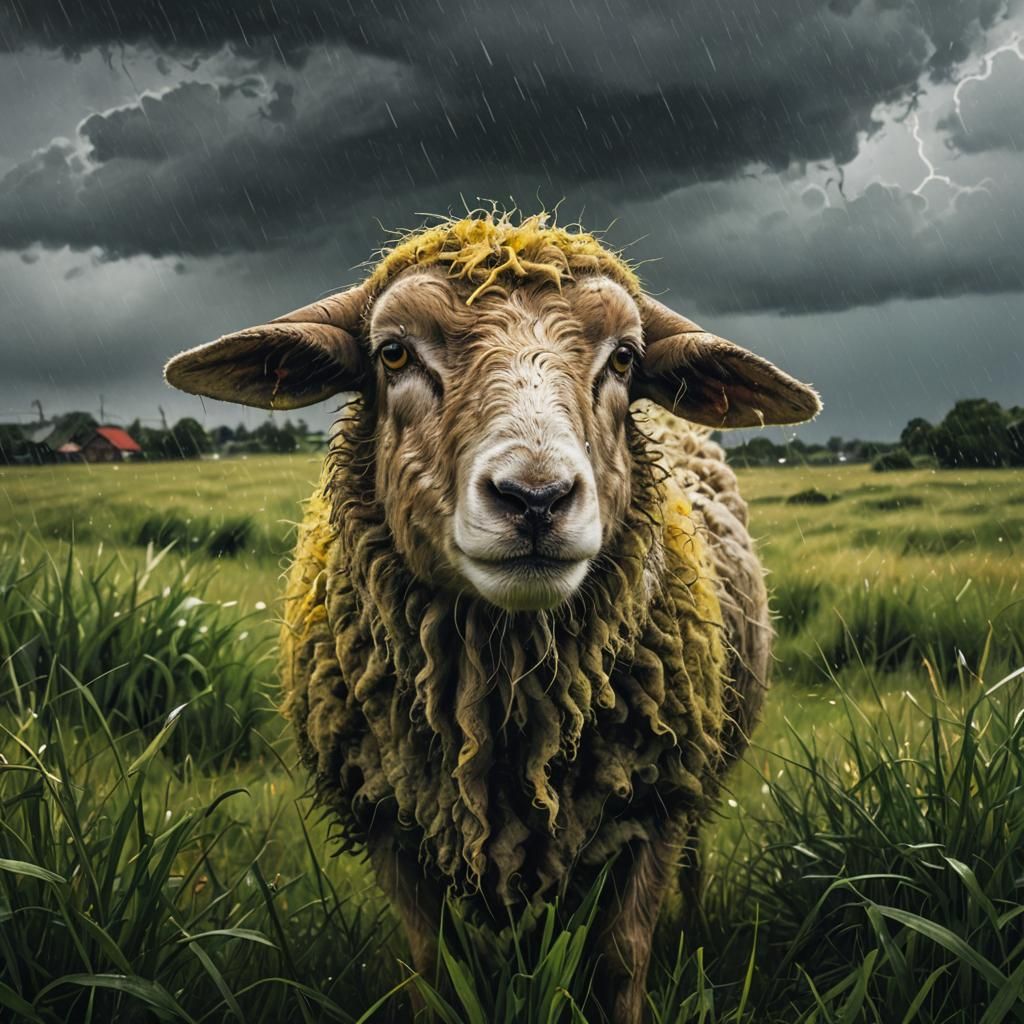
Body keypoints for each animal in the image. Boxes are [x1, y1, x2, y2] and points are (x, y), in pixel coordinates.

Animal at [165, 211, 820, 1023]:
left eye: (625, 359)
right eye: (392, 352)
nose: (536, 498)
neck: (504, 704)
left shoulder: (652, 811)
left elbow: (618, 964)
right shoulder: (392, 829)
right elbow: (436, 971)